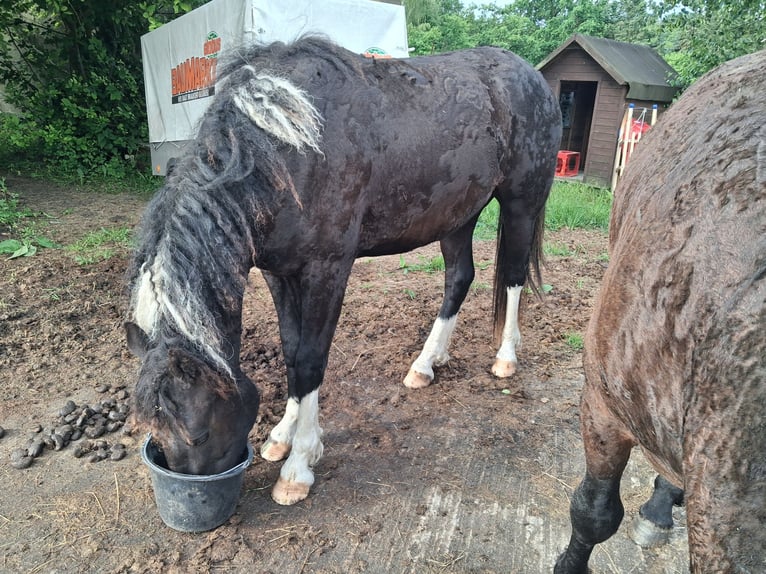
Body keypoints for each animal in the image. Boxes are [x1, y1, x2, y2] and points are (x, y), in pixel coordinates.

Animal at [125, 37, 562, 506]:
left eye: (198, 435)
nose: (196, 498)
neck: (281, 152)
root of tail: (531, 76)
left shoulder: (328, 269)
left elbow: (310, 361)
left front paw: (299, 466)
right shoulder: (278, 273)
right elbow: (291, 351)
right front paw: (282, 436)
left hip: (521, 203)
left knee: (513, 277)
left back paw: (505, 358)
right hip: (458, 216)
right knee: (458, 280)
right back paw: (427, 363)